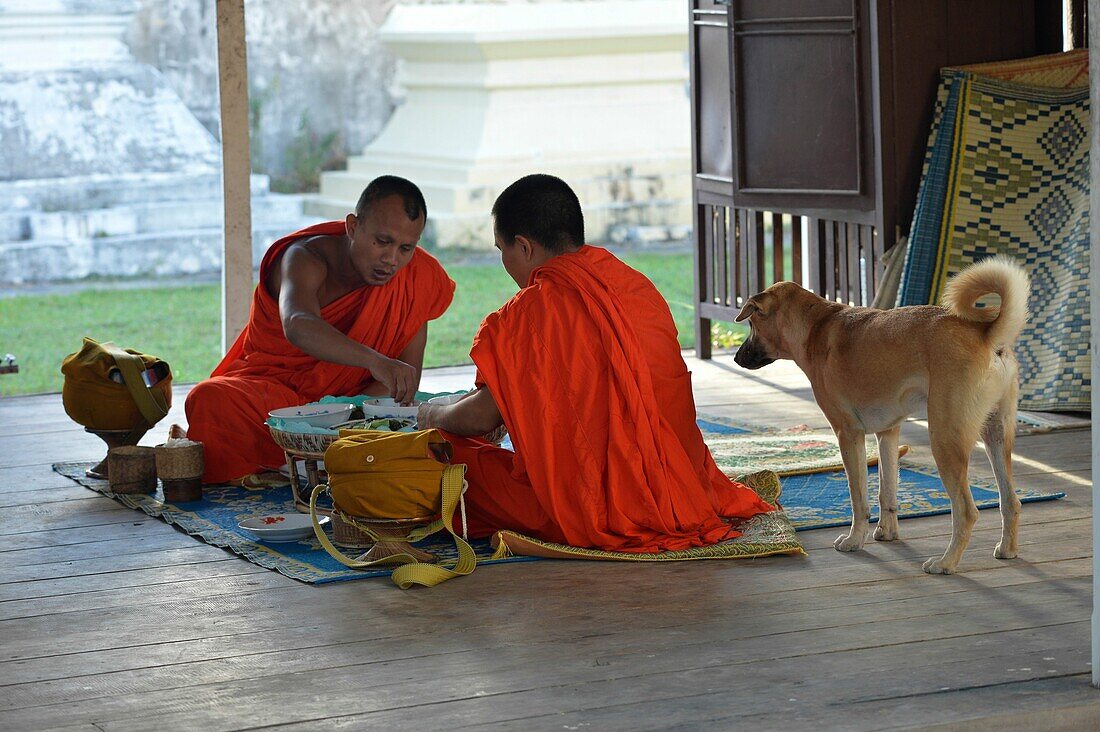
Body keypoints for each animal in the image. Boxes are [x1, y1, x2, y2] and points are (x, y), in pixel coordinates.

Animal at [734, 254, 1025, 572]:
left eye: (751, 323)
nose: (736, 358)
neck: (815, 326)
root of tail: (986, 336)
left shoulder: (848, 434)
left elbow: (859, 498)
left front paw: (854, 540)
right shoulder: (888, 433)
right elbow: (887, 490)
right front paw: (887, 532)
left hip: (945, 439)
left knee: (966, 511)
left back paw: (945, 562)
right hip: (996, 435)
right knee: (1011, 501)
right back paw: (1007, 549)